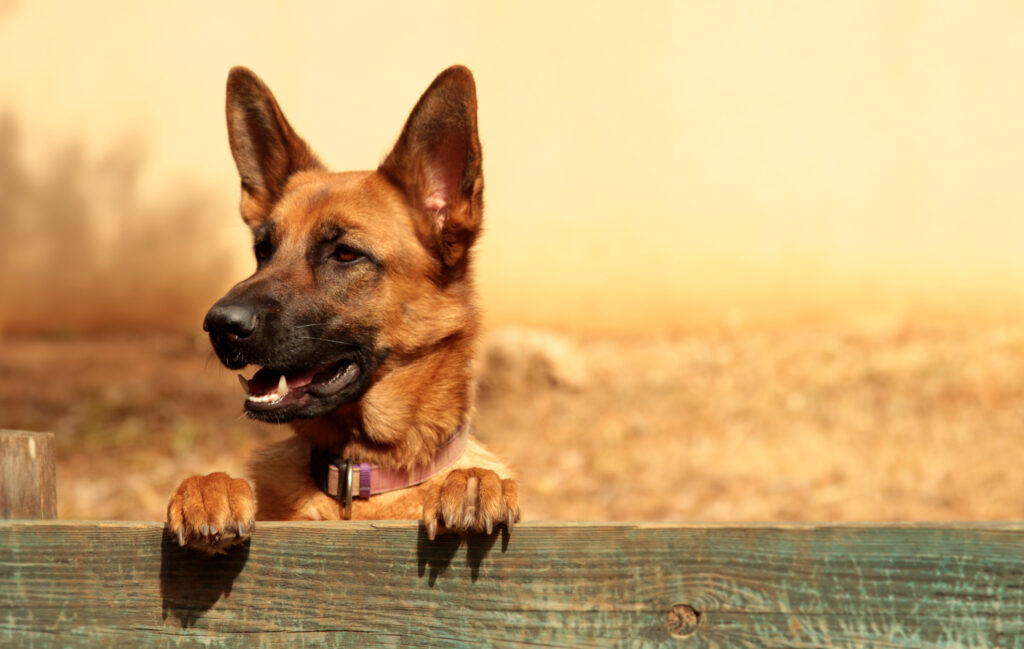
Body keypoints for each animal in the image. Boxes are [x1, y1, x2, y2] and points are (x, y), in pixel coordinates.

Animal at [168, 64, 524, 552]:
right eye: (263, 250)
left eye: (345, 254)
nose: (219, 325)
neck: (358, 477)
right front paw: (210, 488)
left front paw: (470, 481)